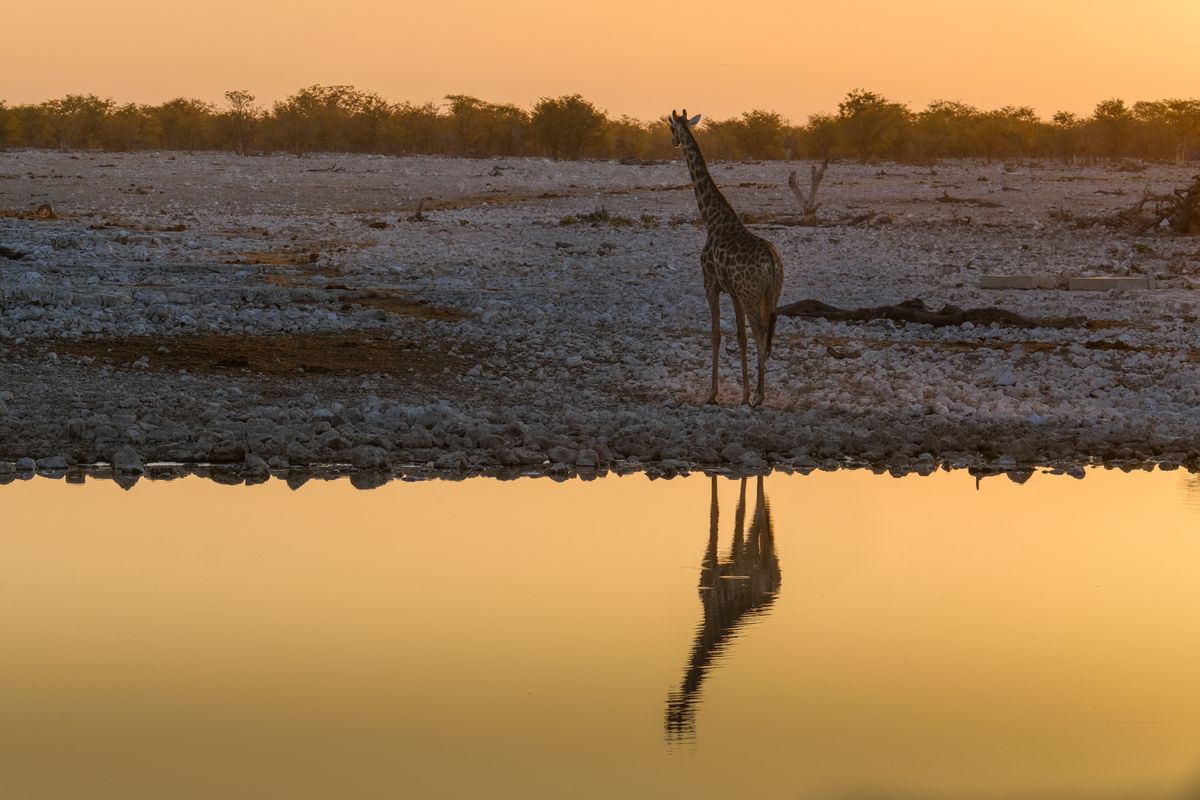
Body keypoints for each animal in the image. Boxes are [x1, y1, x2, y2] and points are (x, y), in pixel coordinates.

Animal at [666, 475, 781, 740]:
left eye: (679, 717)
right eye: (671, 718)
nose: (671, 696)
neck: (711, 617)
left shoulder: (731, 562)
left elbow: (733, 510)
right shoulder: (711, 567)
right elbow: (720, 510)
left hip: (761, 558)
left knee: (760, 514)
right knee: (759, 522)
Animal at [668, 109, 785, 406]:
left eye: (670, 127)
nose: (674, 142)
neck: (712, 220)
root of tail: (772, 262)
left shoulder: (710, 284)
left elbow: (716, 334)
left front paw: (712, 394)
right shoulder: (732, 291)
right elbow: (740, 336)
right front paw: (742, 394)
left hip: (752, 294)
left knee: (760, 333)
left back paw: (760, 396)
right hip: (770, 294)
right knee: (766, 332)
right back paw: (756, 394)